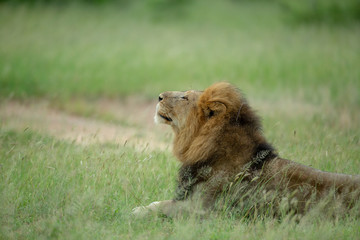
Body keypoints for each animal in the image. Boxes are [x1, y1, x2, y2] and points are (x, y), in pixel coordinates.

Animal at [133, 82, 360, 218]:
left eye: (184, 98)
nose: (159, 97)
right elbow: (159, 202)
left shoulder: (201, 209)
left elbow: (162, 207)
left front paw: (137, 211)